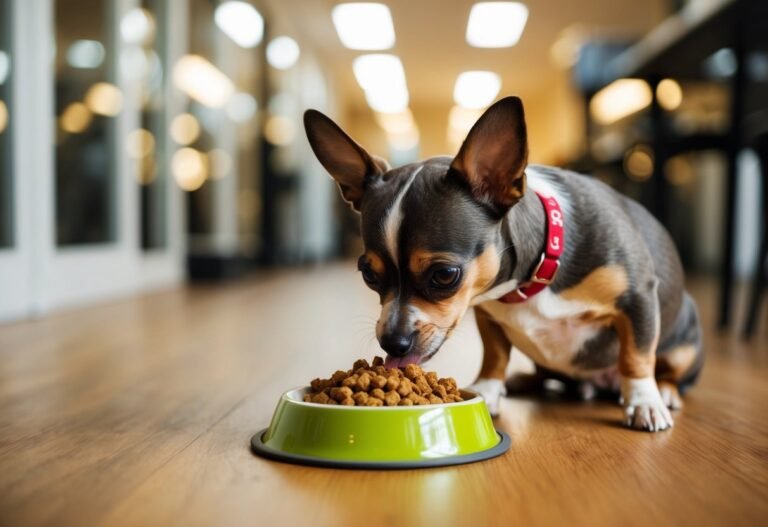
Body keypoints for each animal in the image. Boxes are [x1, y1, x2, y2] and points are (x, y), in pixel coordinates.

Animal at [300, 97, 704, 432]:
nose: (392, 342)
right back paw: (524, 380)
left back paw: (665, 392)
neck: (529, 283)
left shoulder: (638, 299)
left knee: (668, 369)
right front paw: (487, 389)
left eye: (444, 275)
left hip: (685, 344)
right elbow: (494, 355)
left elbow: (636, 356)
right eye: (369, 275)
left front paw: (644, 402)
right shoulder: (488, 316)